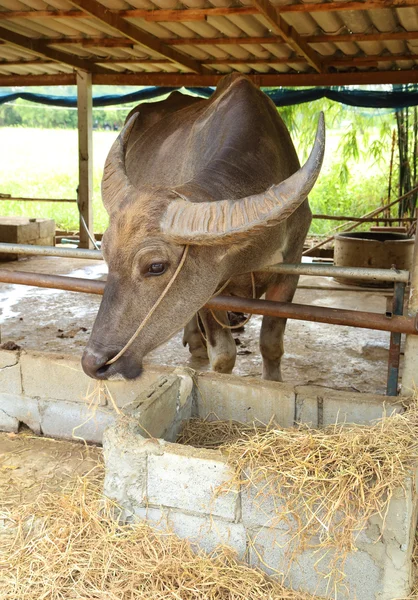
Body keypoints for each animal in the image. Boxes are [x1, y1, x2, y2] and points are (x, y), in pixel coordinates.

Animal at [81, 74, 324, 380]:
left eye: (156, 266)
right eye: (106, 255)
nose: (93, 362)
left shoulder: (290, 270)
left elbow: (271, 343)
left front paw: (274, 381)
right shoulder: (210, 289)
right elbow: (224, 355)